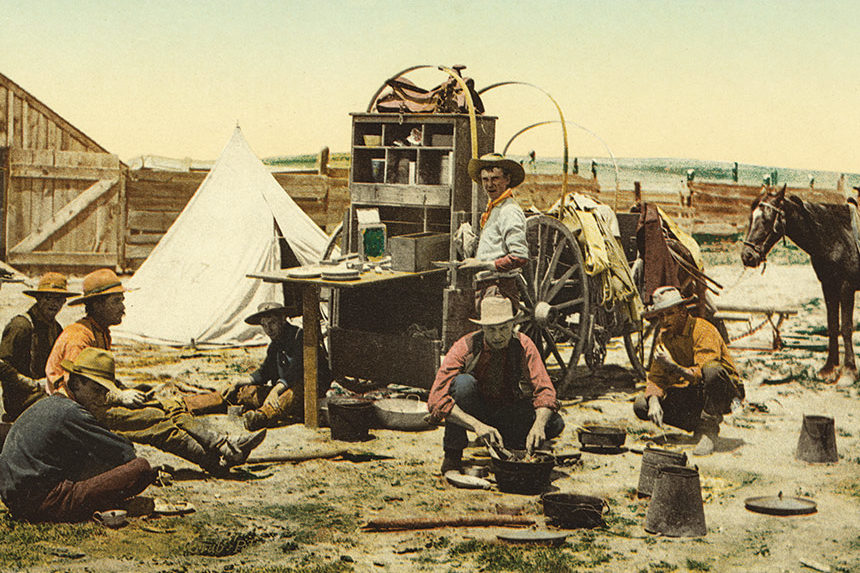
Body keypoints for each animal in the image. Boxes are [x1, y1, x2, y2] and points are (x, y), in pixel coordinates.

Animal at [740, 184, 860, 384]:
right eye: (751, 217)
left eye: (766, 219)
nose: (747, 256)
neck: (838, 237)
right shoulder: (828, 285)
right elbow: (832, 325)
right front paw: (829, 368)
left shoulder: (846, 286)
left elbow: (846, 327)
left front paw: (849, 372)